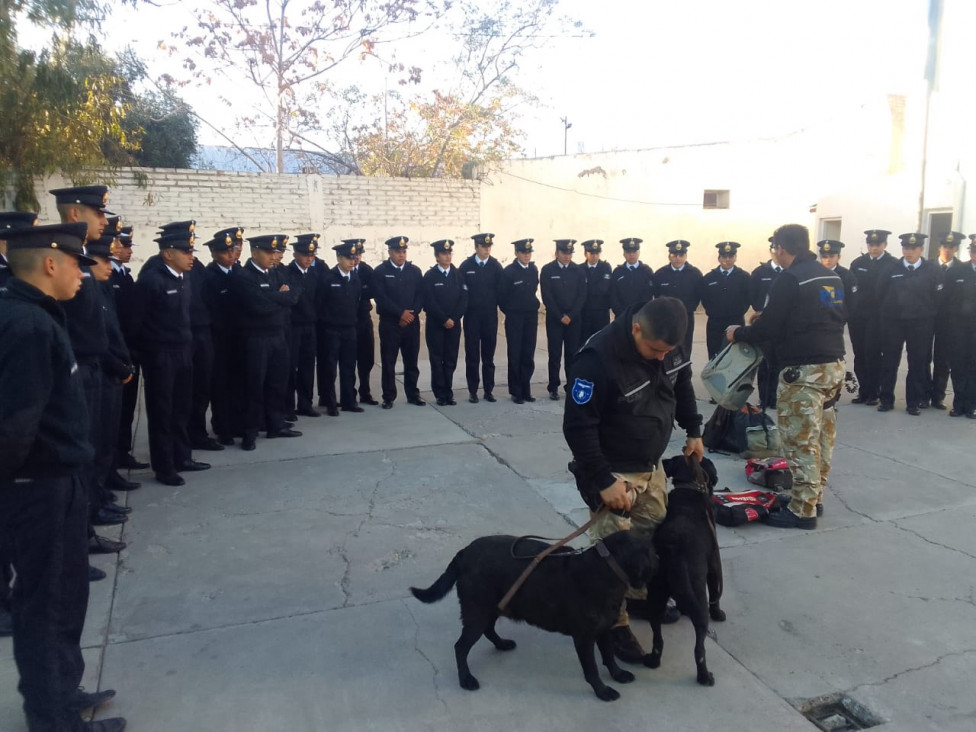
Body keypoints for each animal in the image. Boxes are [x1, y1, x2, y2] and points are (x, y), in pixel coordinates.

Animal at [408, 528, 660, 700]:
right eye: (652, 553)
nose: (660, 558)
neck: (606, 568)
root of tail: (463, 552)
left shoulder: (604, 628)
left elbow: (608, 656)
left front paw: (618, 675)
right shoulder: (584, 636)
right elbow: (592, 668)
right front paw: (603, 691)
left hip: (494, 605)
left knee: (488, 630)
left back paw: (501, 644)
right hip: (477, 610)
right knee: (460, 646)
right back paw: (466, 679)